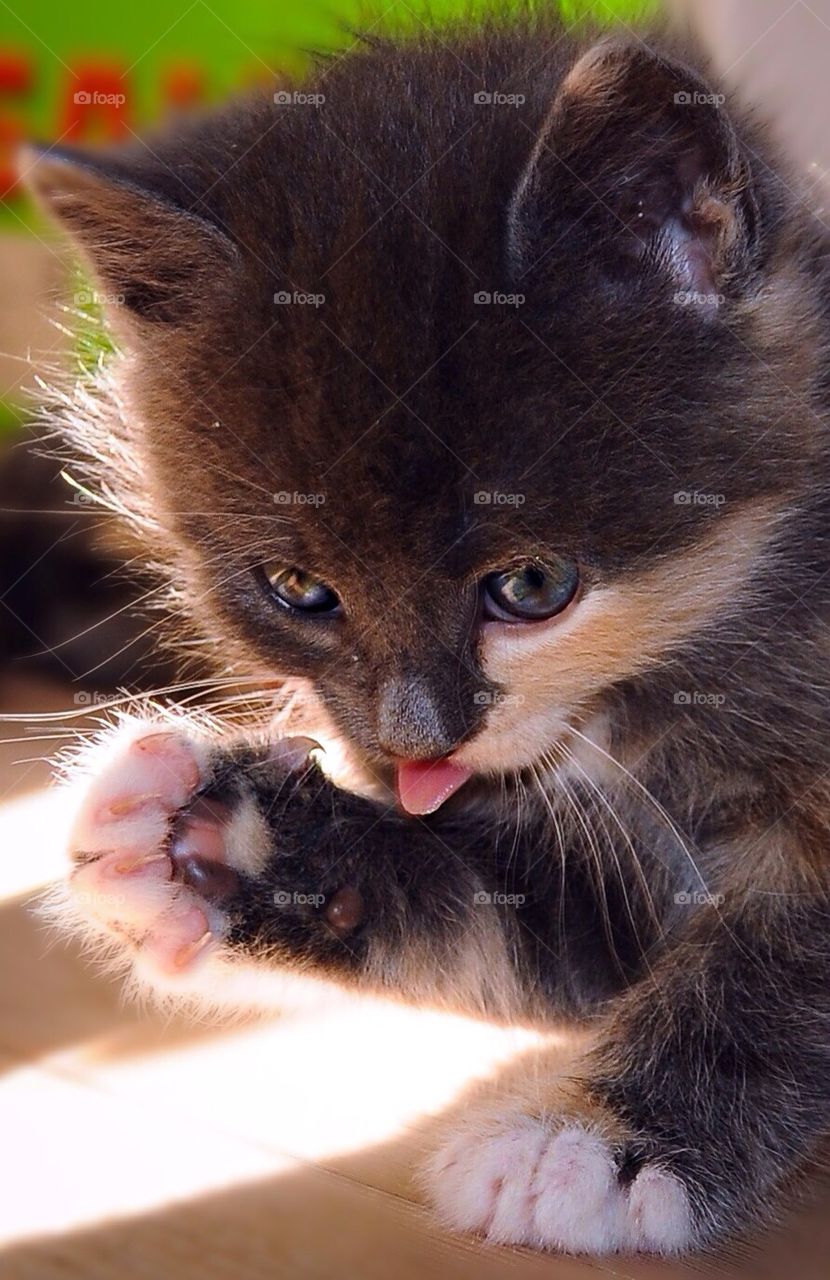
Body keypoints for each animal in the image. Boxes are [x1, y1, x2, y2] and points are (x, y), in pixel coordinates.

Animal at [21, 12, 830, 1259]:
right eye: (299, 587)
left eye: (531, 585)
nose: (409, 740)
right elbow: (499, 915)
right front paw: (203, 834)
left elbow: (772, 962)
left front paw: (591, 1139)